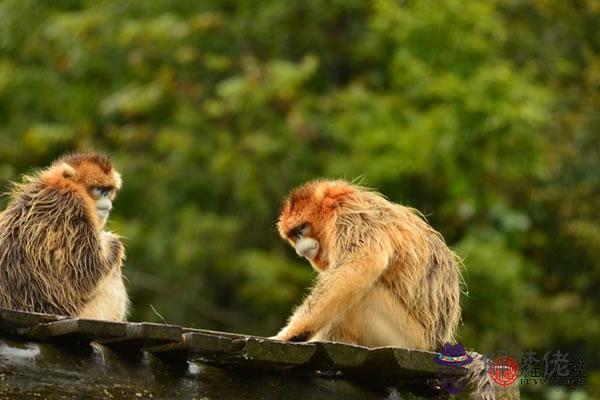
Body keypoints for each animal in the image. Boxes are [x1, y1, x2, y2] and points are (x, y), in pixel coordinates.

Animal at [0, 152, 130, 320]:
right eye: (98, 189)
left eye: (108, 189)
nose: (106, 196)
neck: (62, 185)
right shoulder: (72, 206)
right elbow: (88, 277)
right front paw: (112, 241)